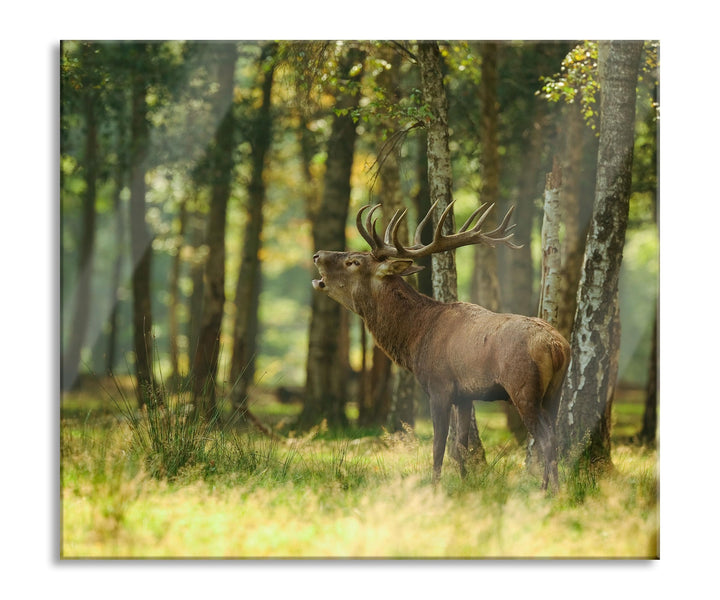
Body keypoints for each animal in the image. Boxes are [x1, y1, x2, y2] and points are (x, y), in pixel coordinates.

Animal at [311, 201, 570, 491]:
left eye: (354, 261)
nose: (317, 254)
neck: (415, 338)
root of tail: (557, 347)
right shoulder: (465, 396)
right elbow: (460, 447)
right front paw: (465, 484)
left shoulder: (439, 387)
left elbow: (439, 447)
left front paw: (435, 487)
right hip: (554, 392)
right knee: (555, 435)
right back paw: (552, 488)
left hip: (523, 388)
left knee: (546, 438)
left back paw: (547, 490)